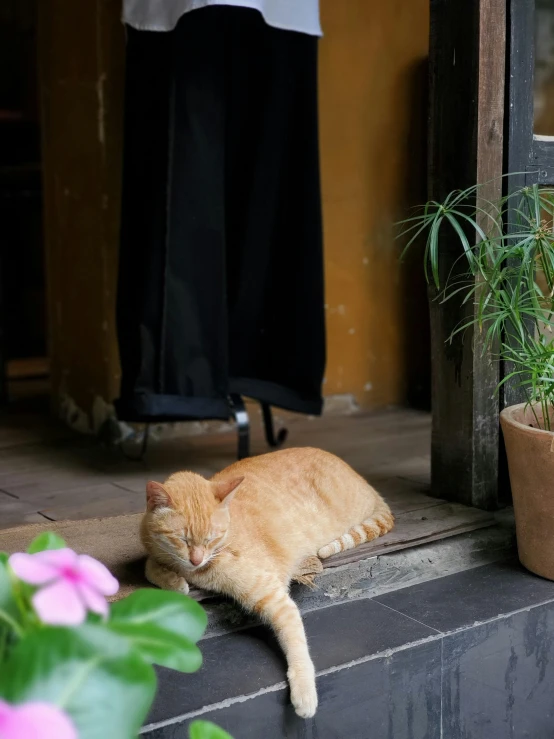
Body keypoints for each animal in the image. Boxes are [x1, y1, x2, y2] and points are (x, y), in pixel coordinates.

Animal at [141, 448, 392, 720]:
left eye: (211, 538)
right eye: (182, 539)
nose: (196, 559)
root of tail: (362, 479)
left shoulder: (274, 595)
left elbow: (297, 642)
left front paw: (304, 690)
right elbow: (149, 565)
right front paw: (173, 581)